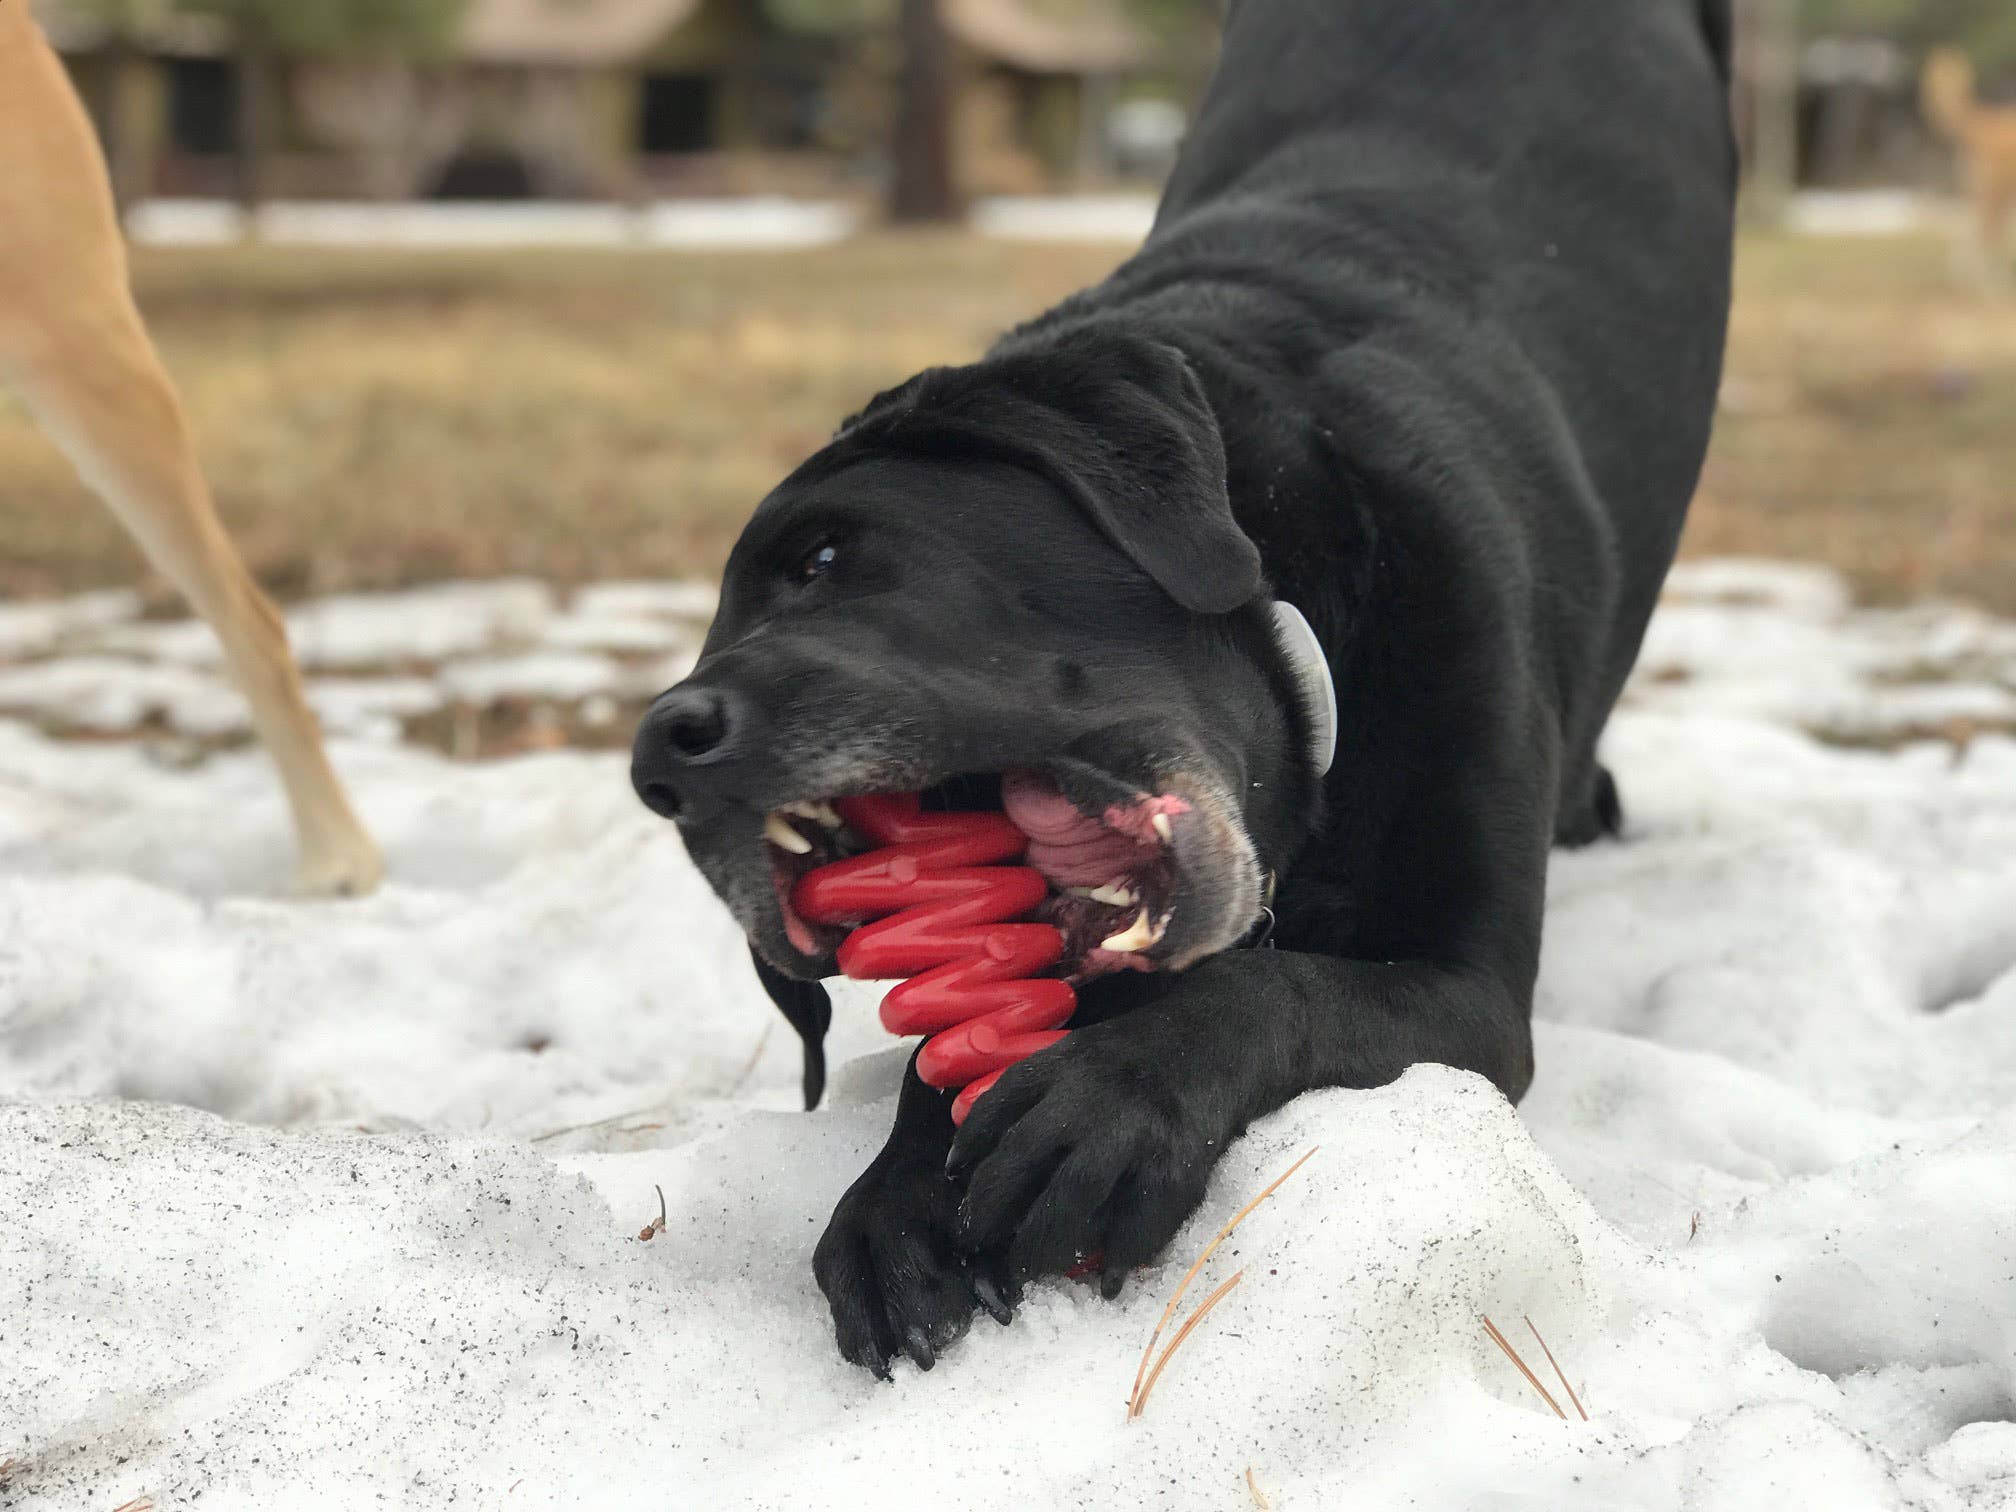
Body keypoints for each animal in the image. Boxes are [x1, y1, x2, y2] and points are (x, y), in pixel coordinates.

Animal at [628, 0, 1733, 1387]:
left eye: (820, 559)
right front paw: (901, 1194)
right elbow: (963, 1036)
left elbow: (1275, 985)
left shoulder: (1466, 982)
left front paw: (1116, 1099)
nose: (661, 752)